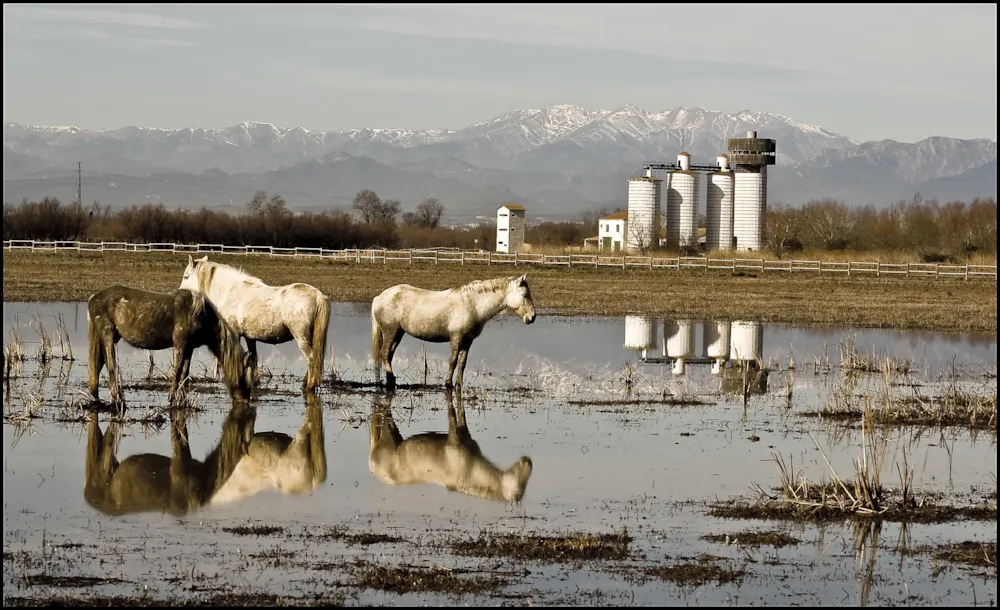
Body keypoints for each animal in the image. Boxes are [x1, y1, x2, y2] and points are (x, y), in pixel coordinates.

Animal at [88, 284, 252, 404]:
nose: (245, 399)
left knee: (101, 364)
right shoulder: (180, 344)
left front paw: (182, 398)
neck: (200, 314)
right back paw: (117, 397)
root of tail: (92, 298)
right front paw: (172, 397)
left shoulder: (189, 347)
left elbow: (185, 371)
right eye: (245, 377)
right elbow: (177, 370)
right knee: (111, 365)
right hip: (108, 336)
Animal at [180, 254, 332, 392]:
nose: (181, 293)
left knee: (311, 358)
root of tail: (318, 296)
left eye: (186, 276)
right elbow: (253, 358)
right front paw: (255, 381)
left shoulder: (235, 334)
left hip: (301, 337)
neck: (230, 292)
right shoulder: (250, 337)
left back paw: (310, 386)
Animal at [372, 274, 536, 388]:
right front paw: (448, 383)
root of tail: (378, 297)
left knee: (388, 355)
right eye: (524, 295)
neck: (473, 305)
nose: (532, 317)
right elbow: (452, 361)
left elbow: (462, 363)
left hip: (398, 333)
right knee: (384, 354)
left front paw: (459, 384)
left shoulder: (467, 341)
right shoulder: (456, 338)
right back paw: (391, 382)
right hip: (391, 332)